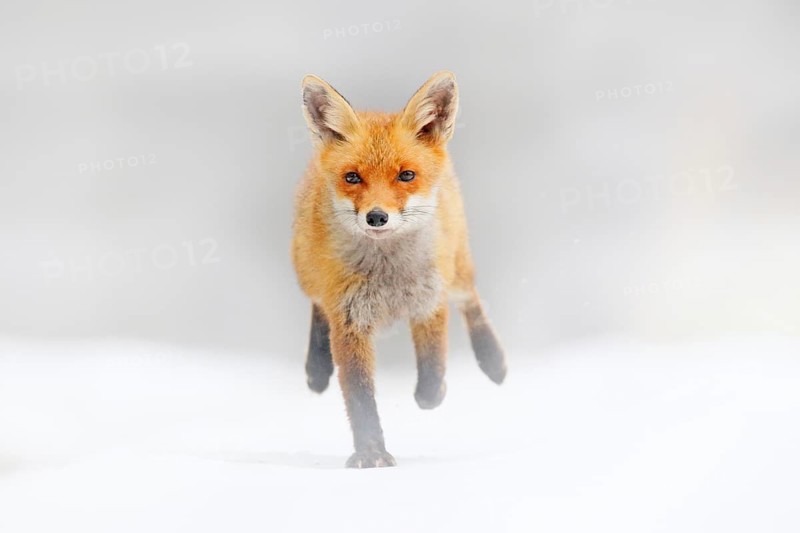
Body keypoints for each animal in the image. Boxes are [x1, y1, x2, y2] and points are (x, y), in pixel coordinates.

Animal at [291, 71, 507, 468]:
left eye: (406, 175)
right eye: (352, 177)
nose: (377, 217)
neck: (388, 274)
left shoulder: (429, 302)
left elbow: (433, 367)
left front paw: (432, 394)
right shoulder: (349, 320)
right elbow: (360, 397)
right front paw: (370, 452)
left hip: (457, 268)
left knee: (471, 301)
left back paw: (493, 362)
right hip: (306, 272)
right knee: (317, 308)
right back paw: (316, 371)